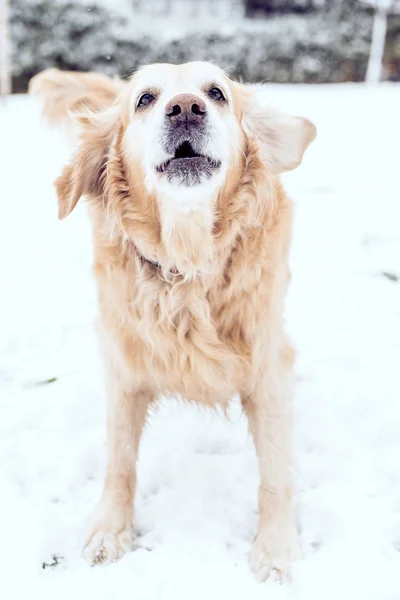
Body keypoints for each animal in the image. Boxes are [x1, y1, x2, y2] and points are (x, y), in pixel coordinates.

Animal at [28, 62, 316, 580]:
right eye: (145, 99)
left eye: (217, 93)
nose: (185, 108)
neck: (189, 261)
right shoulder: (123, 368)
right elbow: (120, 461)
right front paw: (110, 530)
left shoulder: (266, 370)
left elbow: (275, 470)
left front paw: (276, 548)